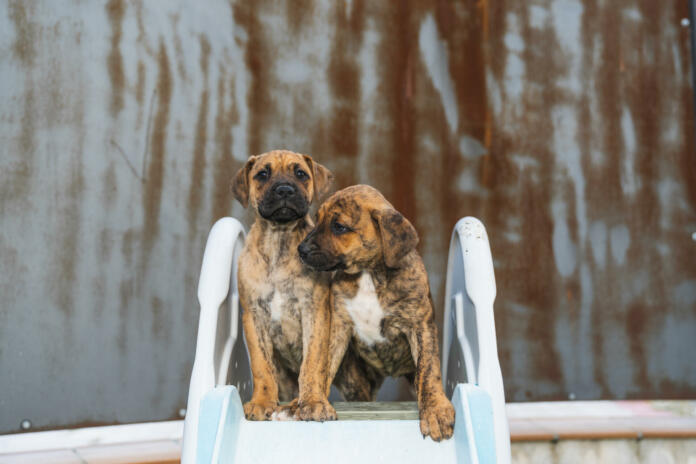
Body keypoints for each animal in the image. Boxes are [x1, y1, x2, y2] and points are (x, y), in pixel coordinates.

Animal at [231, 149, 338, 420]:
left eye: (300, 173)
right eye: (262, 174)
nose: (284, 190)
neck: (279, 238)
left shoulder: (315, 313)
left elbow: (312, 363)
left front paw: (313, 402)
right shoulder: (254, 316)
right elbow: (261, 366)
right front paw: (261, 402)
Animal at [298, 183, 456, 440]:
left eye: (339, 227)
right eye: (318, 219)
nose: (300, 250)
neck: (369, 274)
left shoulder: (420, 326)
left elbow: (429, 370)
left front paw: (435, 410)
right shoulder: (338, 326)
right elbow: (322, 364)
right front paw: (312, 402)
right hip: (358, 383)